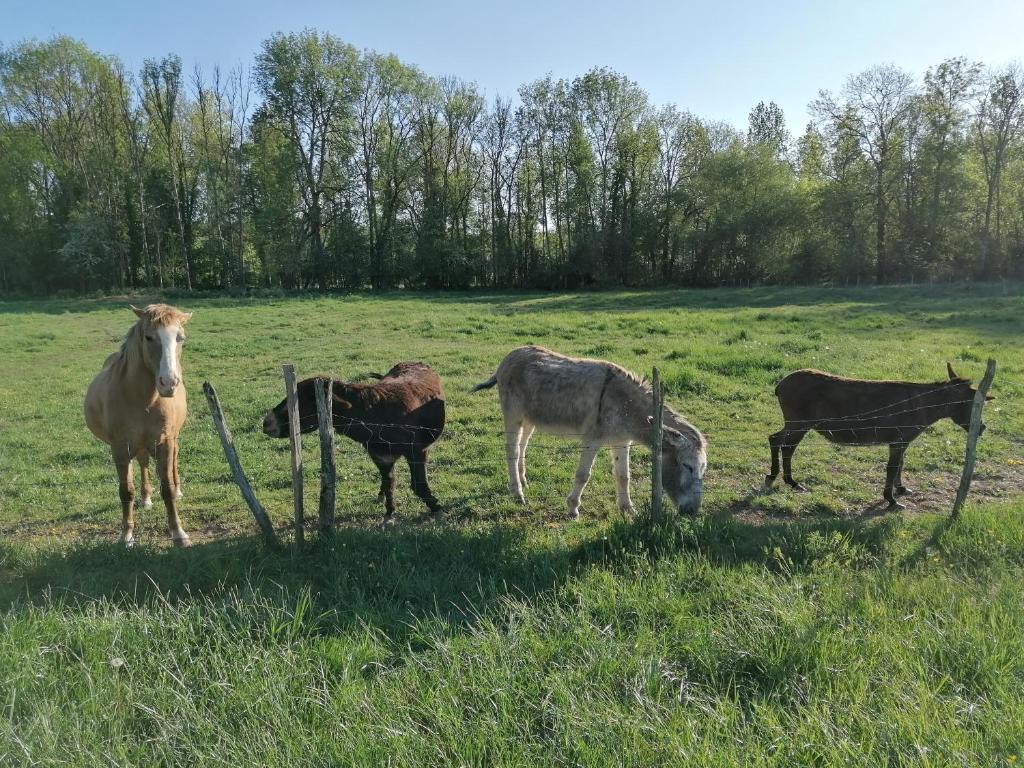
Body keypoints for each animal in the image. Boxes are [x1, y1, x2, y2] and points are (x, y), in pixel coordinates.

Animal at [84, 303, 192, 544]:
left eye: (180, 338)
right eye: (149, 337)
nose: (169, 383)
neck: (145, 400)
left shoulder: (165, 442)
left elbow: (167, 487)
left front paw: (179, 533)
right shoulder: (120, 448)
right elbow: (126, 491)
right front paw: (127, 535)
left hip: (172, 439)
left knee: (174, 459)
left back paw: (178, 490)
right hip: (137, 446)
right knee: (142, 463)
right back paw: (146, 498)